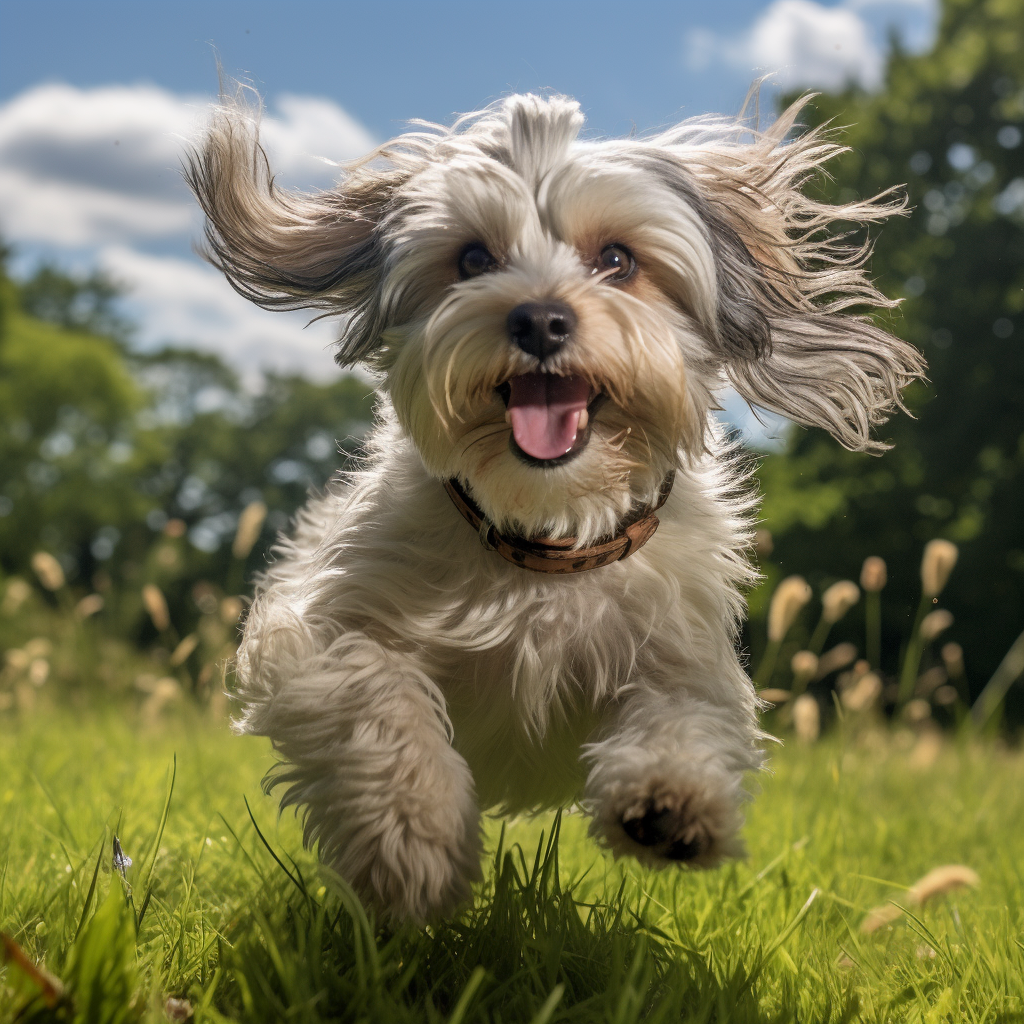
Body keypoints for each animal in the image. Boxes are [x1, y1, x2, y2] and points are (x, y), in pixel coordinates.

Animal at [188, 92, 925, 925]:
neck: (545, 540)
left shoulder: (684, 648)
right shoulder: (322, 630)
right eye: (473, 260)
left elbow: (686, 712)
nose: (538, 319)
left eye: (618, 261)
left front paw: (671, 801)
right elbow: (375, 696)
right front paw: (412, 841)